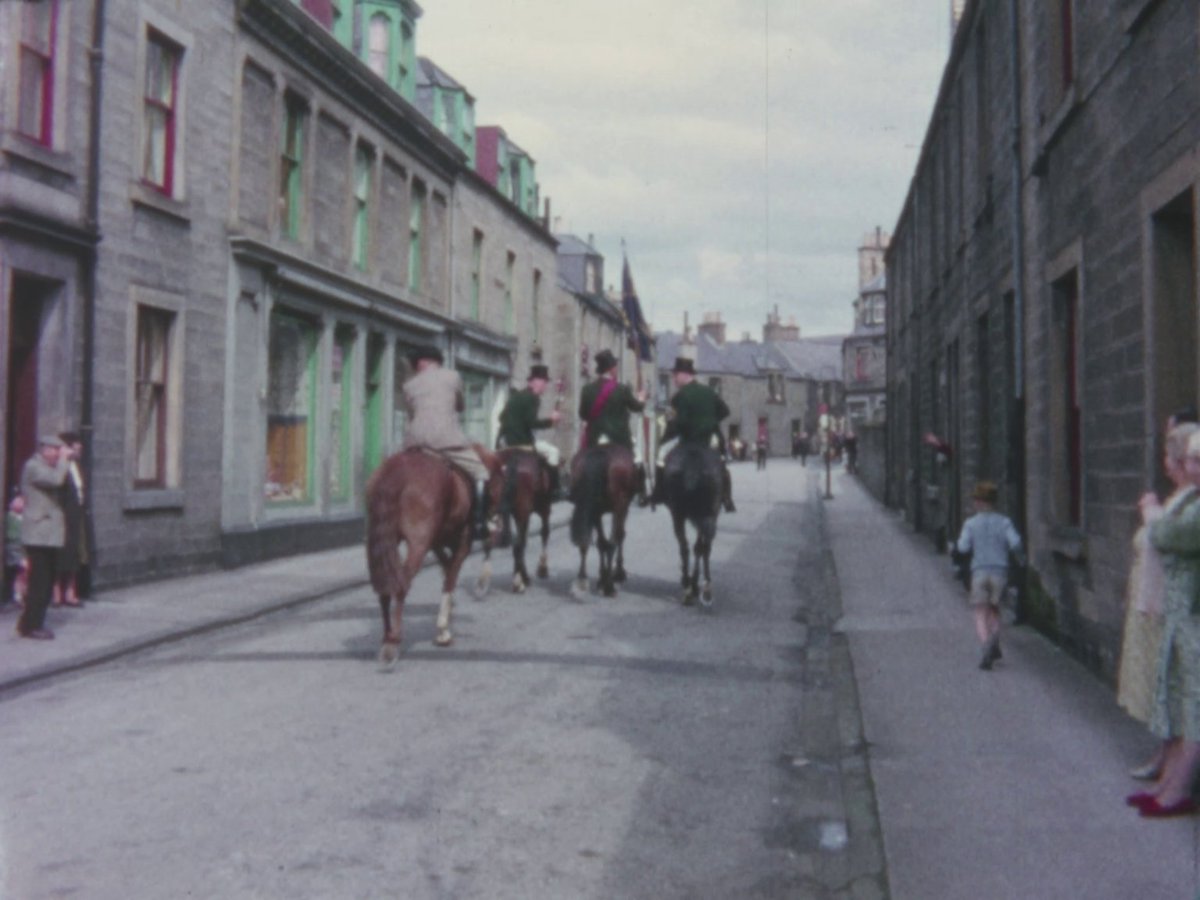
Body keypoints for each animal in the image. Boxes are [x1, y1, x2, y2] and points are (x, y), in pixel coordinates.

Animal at [362, 448, 499, 667]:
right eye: (497, 484)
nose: (494, 523)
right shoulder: (462, 544)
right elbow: (450, 578)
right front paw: (443, 630)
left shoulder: (436, 543)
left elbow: (447, 569)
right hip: (418, 544)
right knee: (401, 584)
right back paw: (393, 643)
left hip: (383, 544)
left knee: (386, 585)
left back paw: (387, 637)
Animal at [494, 448, 554, 592]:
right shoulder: (544, 509)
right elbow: (544, 533)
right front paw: (542, 568)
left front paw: (524, 575)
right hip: (524, 512)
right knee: (518, 544)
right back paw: (518, 582)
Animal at [568, 444, 643, 600]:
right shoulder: (622, 507)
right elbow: (619, 536)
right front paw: (618, 573)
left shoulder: (597, 512)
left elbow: (601, 543)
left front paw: (601, 578)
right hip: (619, 506)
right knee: (613, 542)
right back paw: (609, 586)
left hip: (593, 510)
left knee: (592, 543)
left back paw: (584, 579)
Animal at [657, 441, 720, 607]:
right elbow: (699, 547)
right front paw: (695, 584)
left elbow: (693, 547)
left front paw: (691, 583)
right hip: (710, 513)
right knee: (703, 547)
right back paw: (704, 587)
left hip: (679, 514)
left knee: (686, 546)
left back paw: (688, 585)